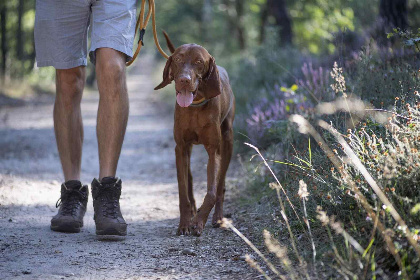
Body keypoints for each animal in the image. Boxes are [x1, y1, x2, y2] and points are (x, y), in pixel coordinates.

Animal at [154, 35, 235, 236]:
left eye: (199, 62)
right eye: (177, 59)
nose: (184, 80)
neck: (196, 104)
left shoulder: (213, 150)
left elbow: (212, 192)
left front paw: (198, 222)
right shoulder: (181, 147)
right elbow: (182, 191)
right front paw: (185, 223)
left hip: (228, 141)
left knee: (221, 185)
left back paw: (218, 217)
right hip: (186, 150)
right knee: (189, 179)